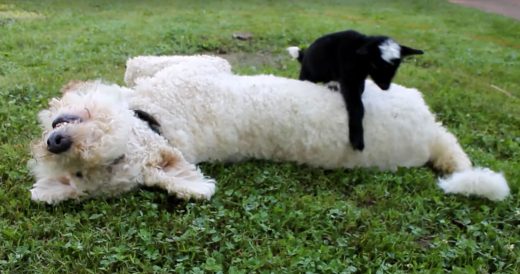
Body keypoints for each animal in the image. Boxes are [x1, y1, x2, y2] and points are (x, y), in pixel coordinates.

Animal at [27, 54, 508, 203]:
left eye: (117, 157)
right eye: (82, 174)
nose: (57, 141)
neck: (162, 122)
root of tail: (431, 139)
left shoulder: (205, 66)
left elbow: (134, 66)